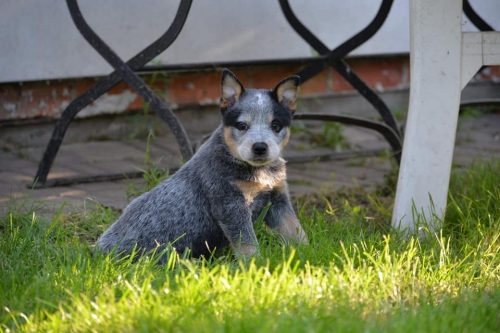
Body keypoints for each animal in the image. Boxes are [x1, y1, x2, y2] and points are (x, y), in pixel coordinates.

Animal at [95, 68, 306, 260]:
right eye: (241, 125)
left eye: (275, 125)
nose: (260, 147)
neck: (258, 170)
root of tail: (97, 251)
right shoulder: (231, 205)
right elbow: (247, 243)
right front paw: (255, 264)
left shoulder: (278, 198)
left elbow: (295, 230)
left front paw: (306, 254)